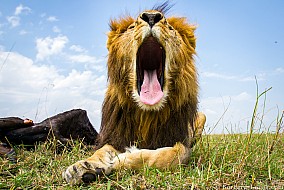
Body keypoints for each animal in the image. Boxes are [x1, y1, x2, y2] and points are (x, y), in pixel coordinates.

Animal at [63, 2, 206, 184]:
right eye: (132, 27)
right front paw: (83, 166)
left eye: (170, 28)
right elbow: (101, 150)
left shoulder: (182, 143)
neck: (147, 115)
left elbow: (171, 155)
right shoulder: (116, 137)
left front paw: (123, 159)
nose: (151, 17)